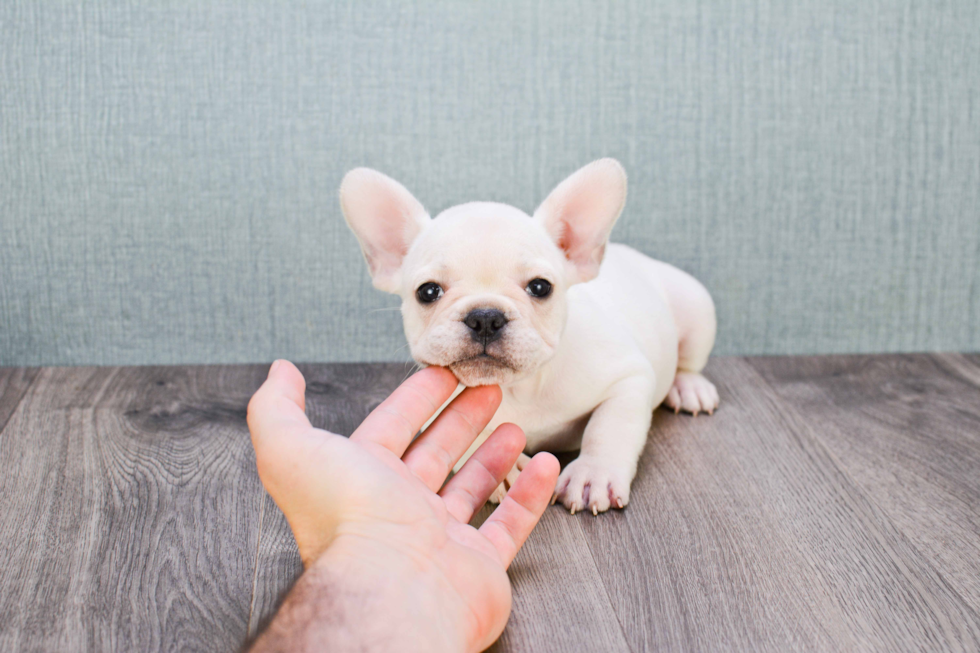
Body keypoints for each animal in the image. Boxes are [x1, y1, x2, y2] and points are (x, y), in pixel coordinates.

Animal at [340, 159, 716, 516]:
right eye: (428, 292)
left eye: (540, 287)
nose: (485, 317)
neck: (521, 387)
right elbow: (471, 436)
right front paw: (502, 467)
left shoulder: (628, 378)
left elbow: (609, 426)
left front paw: (593, 473)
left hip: (696, 307)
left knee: (688, 362)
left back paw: (689, 388)